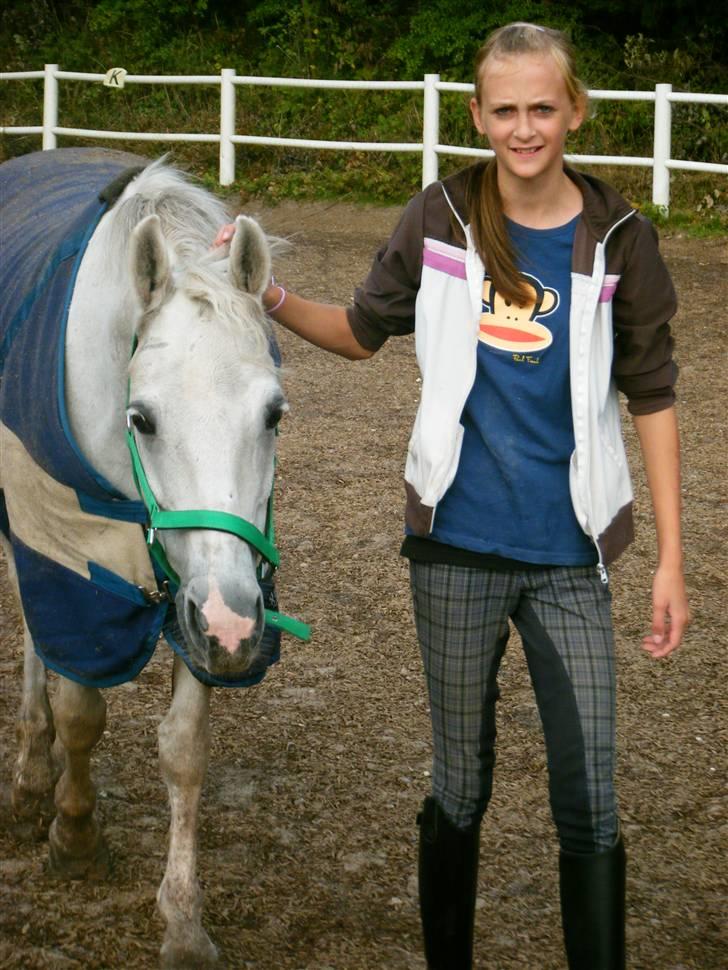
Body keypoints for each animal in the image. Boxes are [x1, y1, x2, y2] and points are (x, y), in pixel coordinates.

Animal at [0, 147, 296, 964]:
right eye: (144, 418)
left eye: (273, 413)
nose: (234, 628)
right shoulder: (70, 564)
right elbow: (81, 711)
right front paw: (73, 830)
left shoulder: (200, 594)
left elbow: (185, 749)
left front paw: (184, 919)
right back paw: (31, 778)